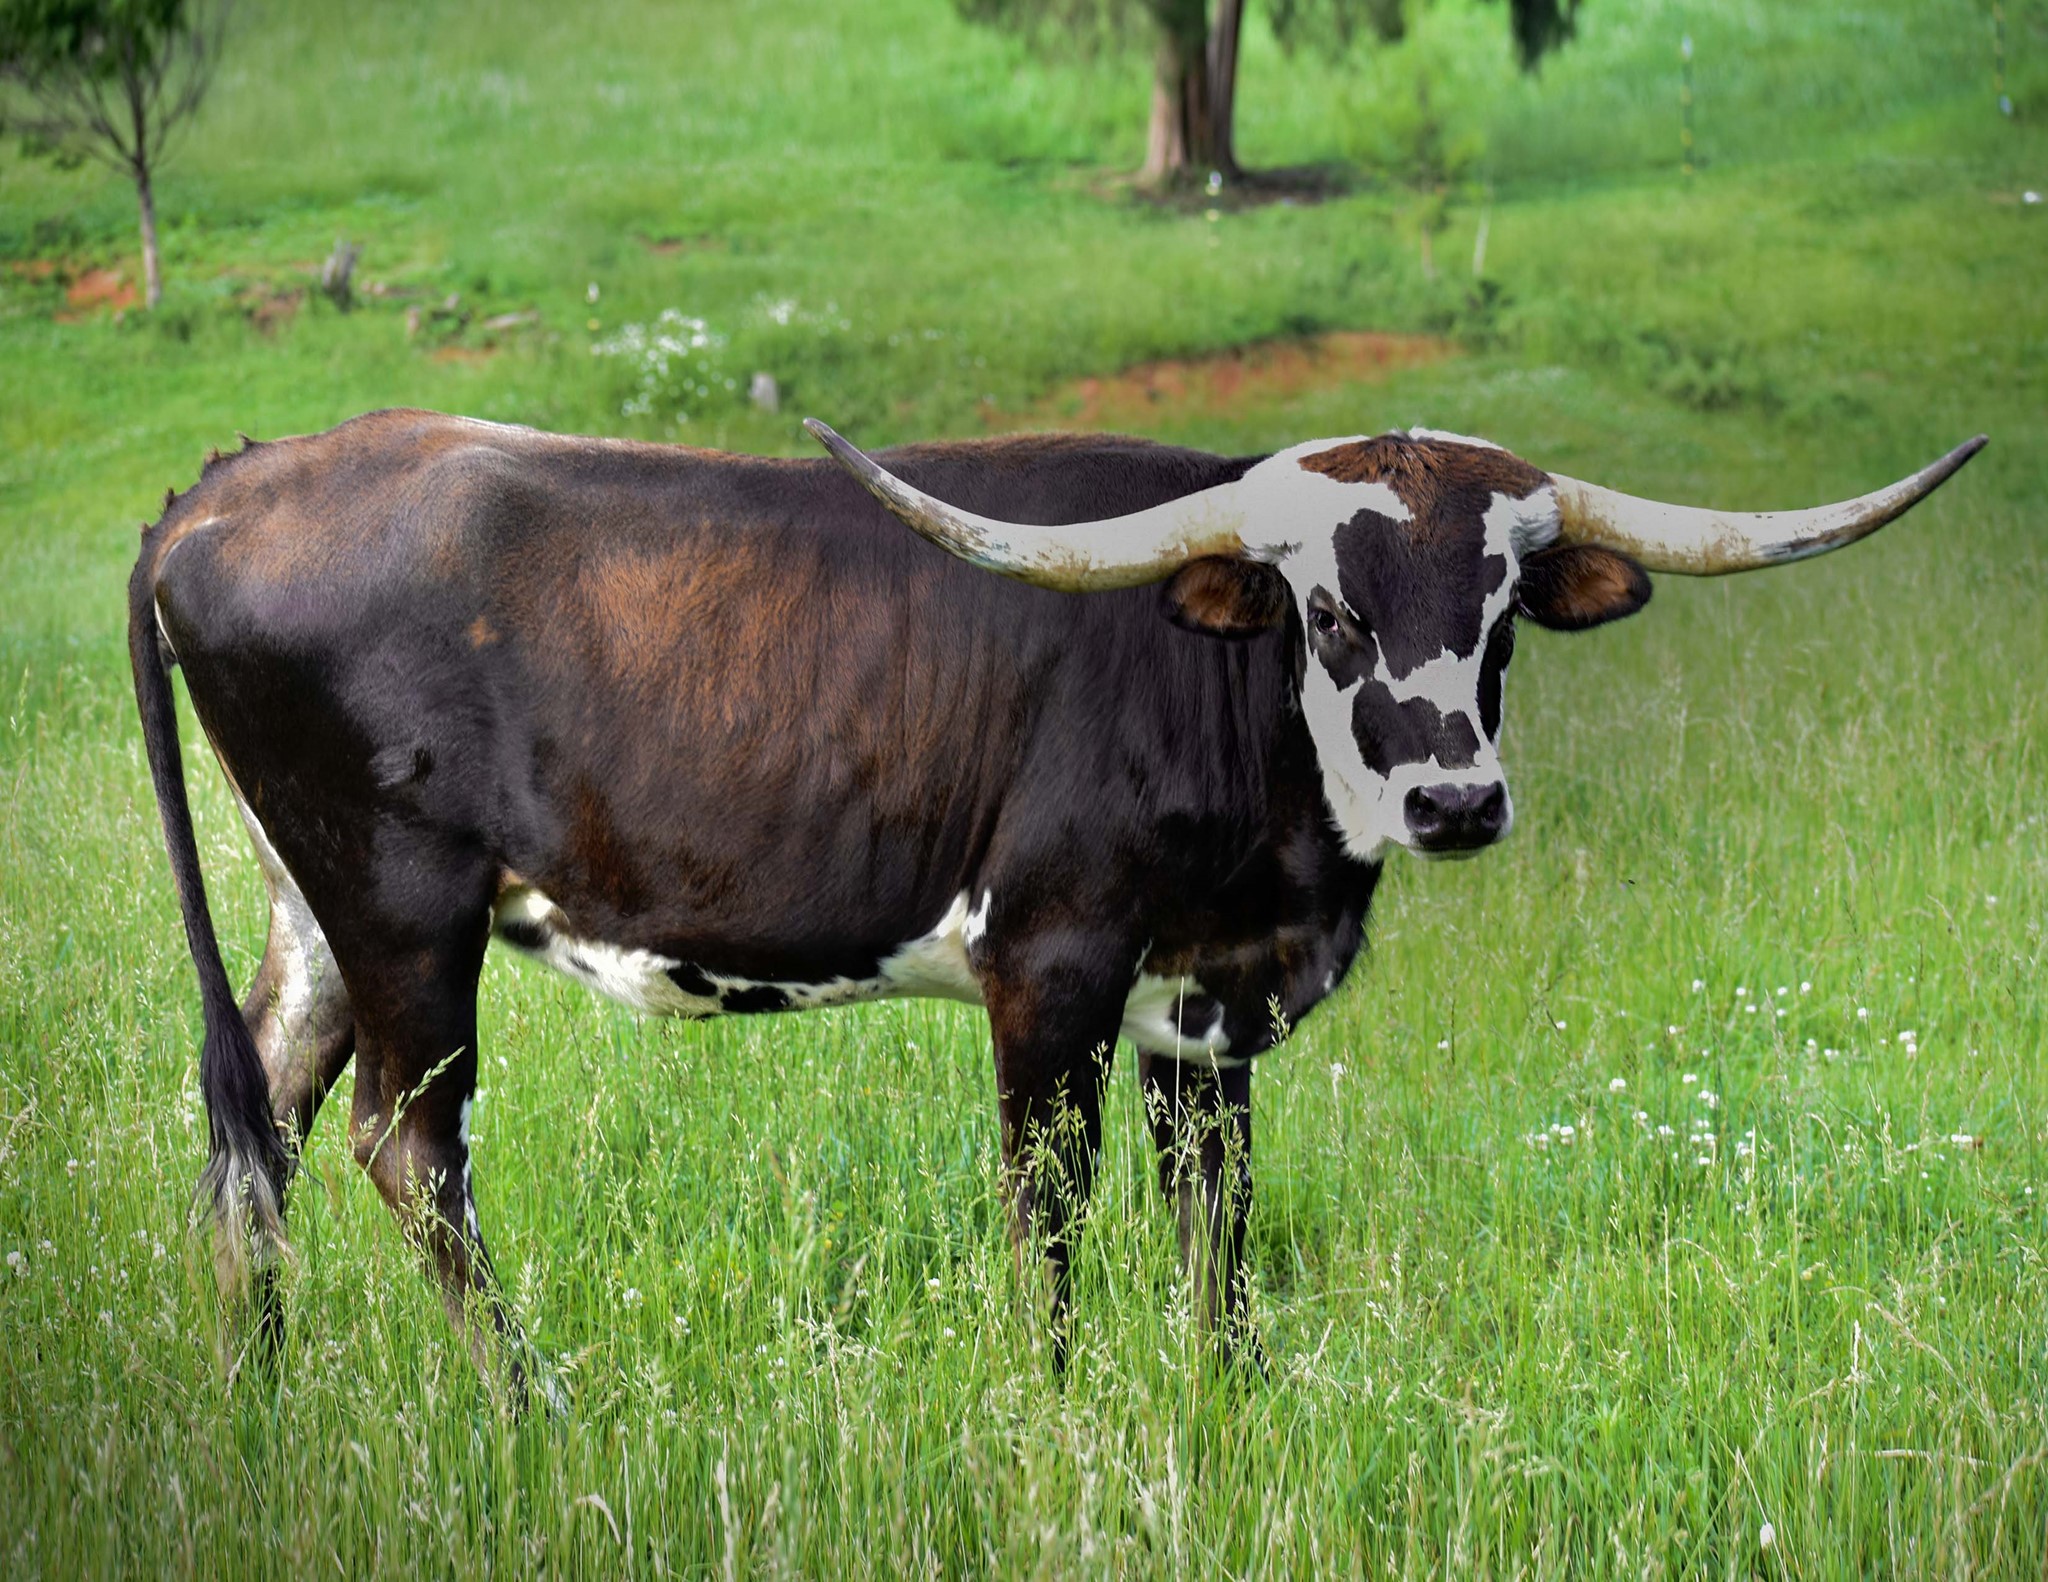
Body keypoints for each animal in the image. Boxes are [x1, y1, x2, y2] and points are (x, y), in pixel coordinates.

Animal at [129, 408, 1981, 1389]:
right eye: (1328, 610)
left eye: (1507, 605)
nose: (1454, 799)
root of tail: (233, 479)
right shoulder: (1054, 965)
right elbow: (1052, 1204)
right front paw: (1052, 1396)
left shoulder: (1205, 1005)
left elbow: (1215, 1217)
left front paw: (1227, 1394)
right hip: (403, 907)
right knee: (403, 1142)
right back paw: (534, 1406)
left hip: (315, 915)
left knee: (261, 1124)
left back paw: (258, 1392)